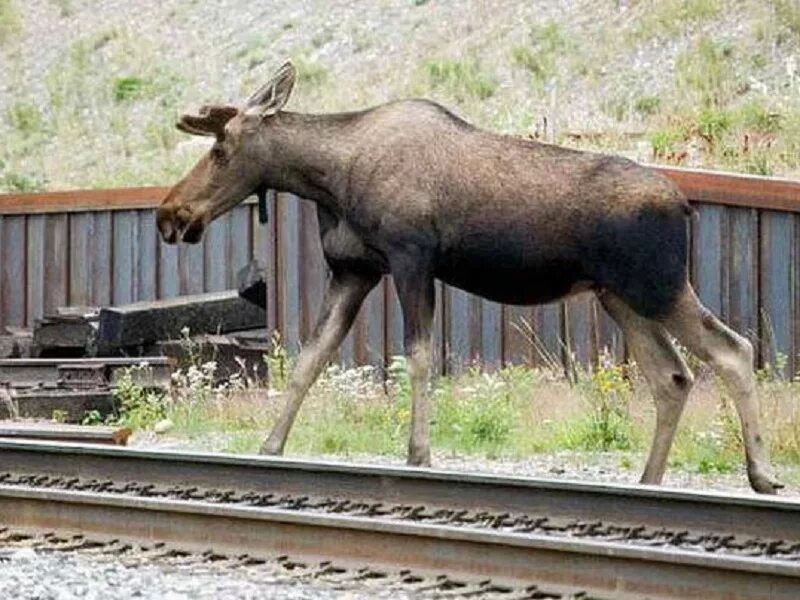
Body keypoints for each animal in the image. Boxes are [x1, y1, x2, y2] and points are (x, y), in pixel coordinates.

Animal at [158, 61, 780, 494]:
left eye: (220, 148)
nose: (170, 214)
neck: (329, 178)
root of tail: (685, 207)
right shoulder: (355, 271)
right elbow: (309, 360)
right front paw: (270, 448)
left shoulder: (412, 257)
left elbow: (419, 357)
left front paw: (418, 454)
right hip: (620, 297)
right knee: (672, 376)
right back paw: (649, 482)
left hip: (658, 285)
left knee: (733, 349)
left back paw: (762, 473)